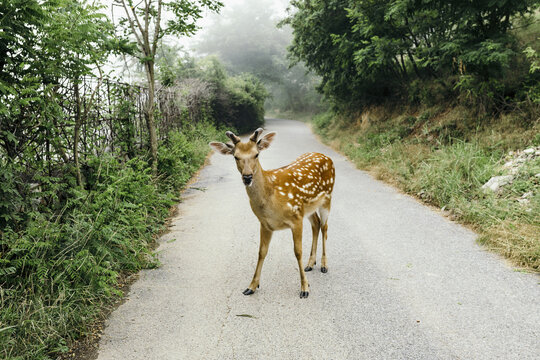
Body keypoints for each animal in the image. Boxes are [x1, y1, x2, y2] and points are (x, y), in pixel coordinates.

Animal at [210, 127, 334, 298]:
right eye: (236, 156)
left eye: (256, 154)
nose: (247, 177)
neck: (271, 197)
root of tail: (327, 157)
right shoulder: (265, 223)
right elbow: (261, 252)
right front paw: (251, 286)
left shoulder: (296, 217)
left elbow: (297, 252)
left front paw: (305, 288)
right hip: (308, 208)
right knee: (316, 224)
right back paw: (310, 263)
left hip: (327, 198)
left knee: (325, 227)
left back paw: (324, 265)